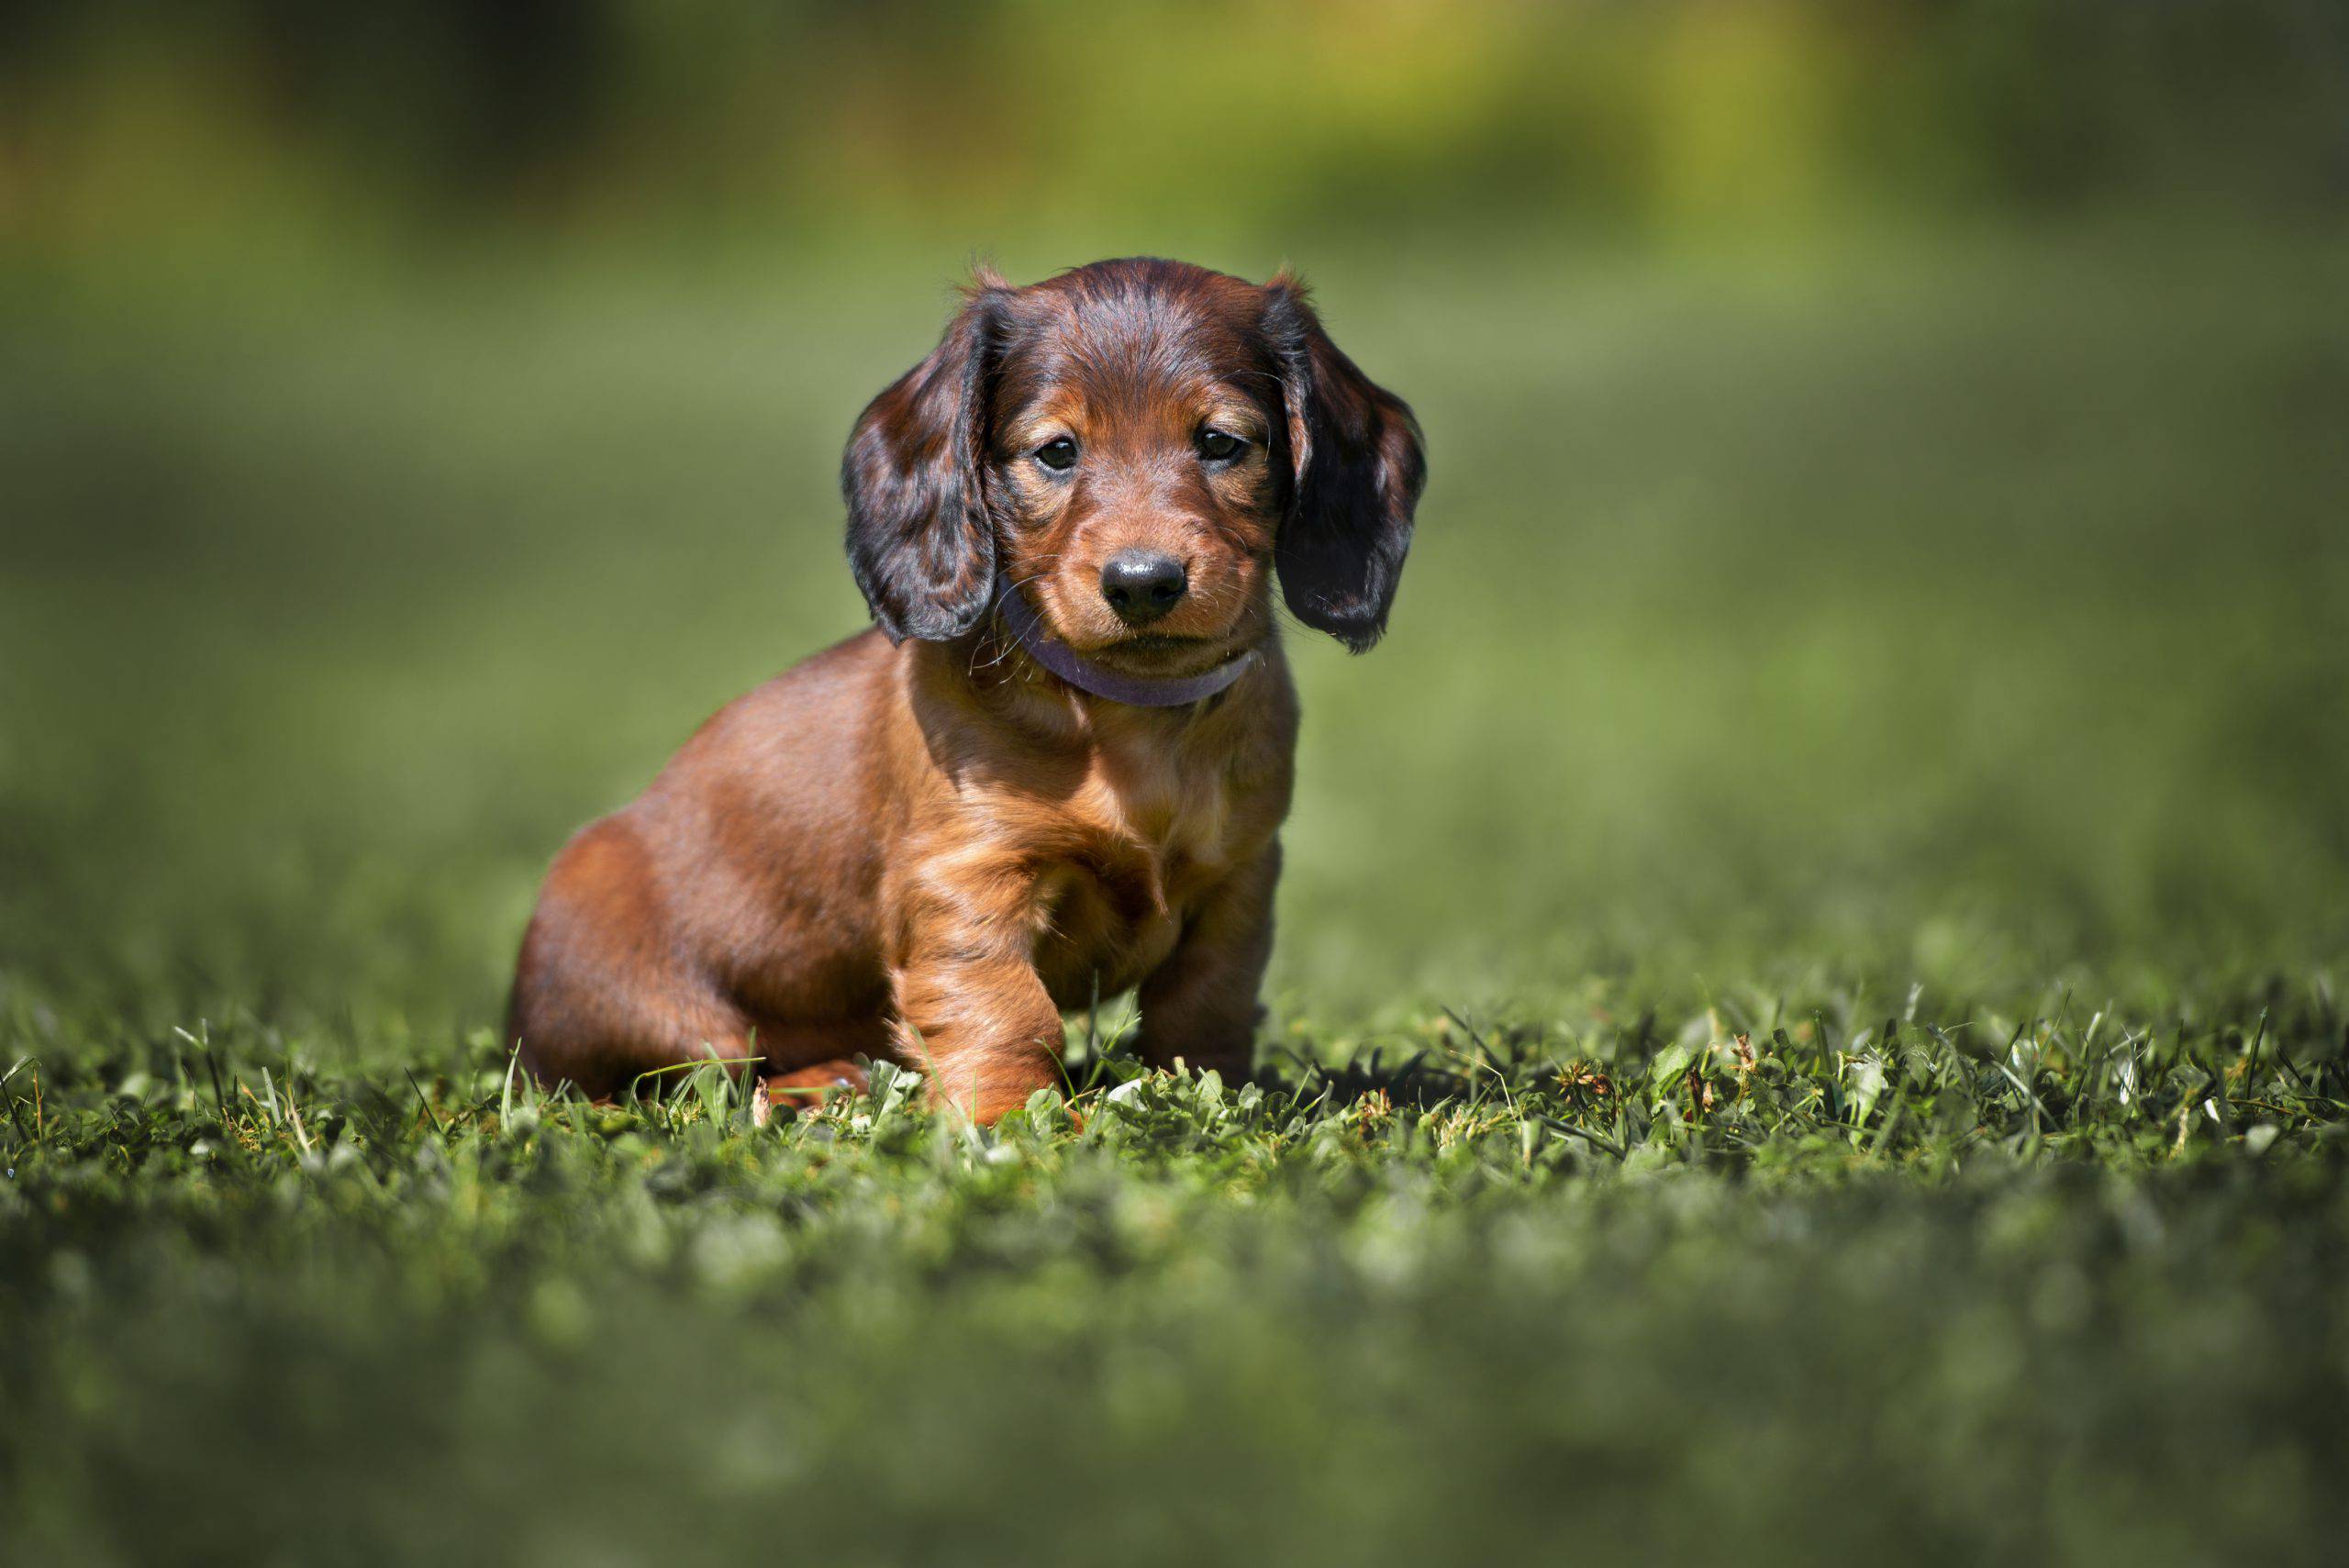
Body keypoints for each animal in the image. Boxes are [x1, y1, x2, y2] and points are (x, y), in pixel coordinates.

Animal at [512, 262, 1419, 1127]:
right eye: (1056, 451)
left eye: (1222, 442)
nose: (1143, 582)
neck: (1131, 712)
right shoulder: (968, 879)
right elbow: (1006, 1011)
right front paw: (1006, 1123)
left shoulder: (1240, 876)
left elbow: (1209, 999)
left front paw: (1212, 1089)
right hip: (659, 998)